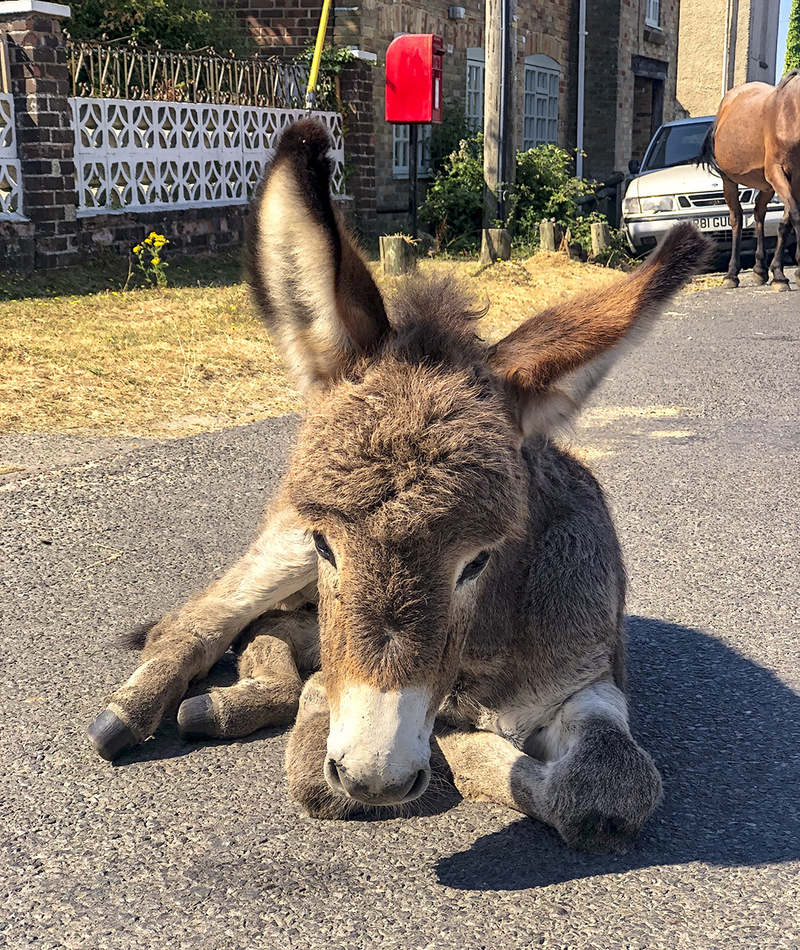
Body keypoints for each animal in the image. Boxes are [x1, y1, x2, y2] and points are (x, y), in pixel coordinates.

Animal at [87, 119, 708, 856]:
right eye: (328, 545)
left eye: (479, 559)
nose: (376, 776)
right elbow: (325, 771)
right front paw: (456, 747)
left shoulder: (591, 676)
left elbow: (611, 787)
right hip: (276, 550)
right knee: (201, 620)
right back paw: (138, 712)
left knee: (269, 630)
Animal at [700, 72, 800, 290]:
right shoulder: (778, 172)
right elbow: (795, 216)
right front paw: (784, 275)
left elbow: (785, 222)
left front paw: (780, 273)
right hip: (729, 180)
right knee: (736, 218)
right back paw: (731, 274)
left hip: (767, 186)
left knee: (759, 213)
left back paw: (760, 269)